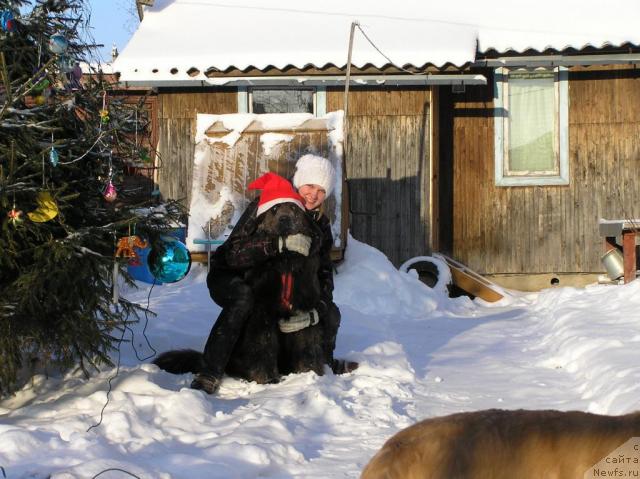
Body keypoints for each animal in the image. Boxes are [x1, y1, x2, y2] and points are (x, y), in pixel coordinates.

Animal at [152, 202, 324, 386]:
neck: (285, 262)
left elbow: (306, 345)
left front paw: (310, 373)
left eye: (294, 208)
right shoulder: (262, 314)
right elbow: (263, 346)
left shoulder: (302, 309)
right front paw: (267, 378)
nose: (284, 219)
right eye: (274, 209)